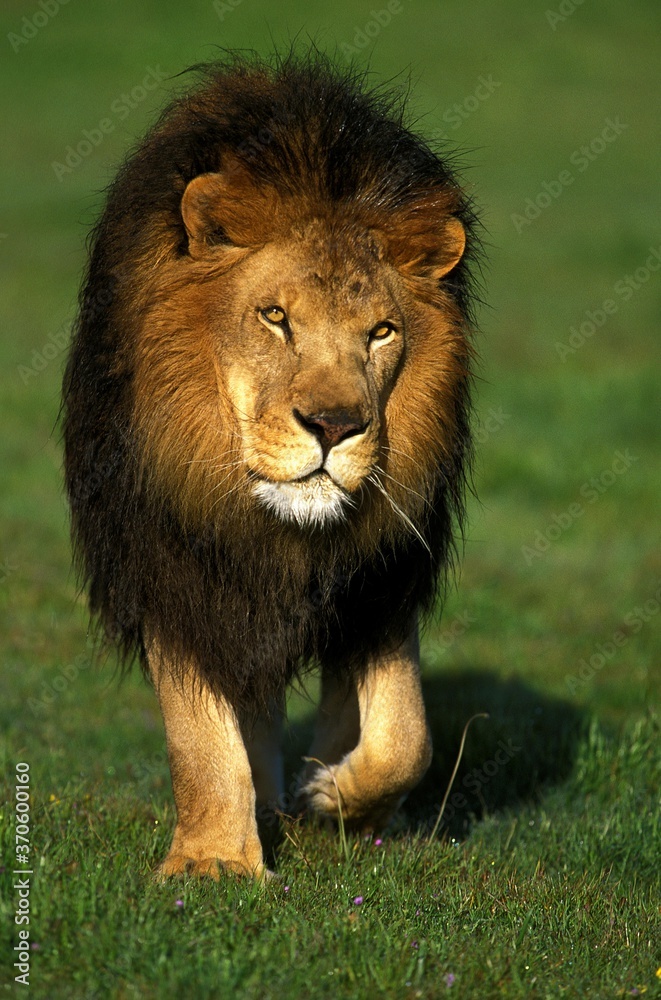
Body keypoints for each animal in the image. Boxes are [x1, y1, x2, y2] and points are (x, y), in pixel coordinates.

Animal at [62, 53, 478, 879]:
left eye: (381, 332)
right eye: (275, 318)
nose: (334, 427)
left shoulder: (381, 574)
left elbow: (405, 736)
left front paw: (337, 802)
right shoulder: (176, 563)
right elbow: (200, 729)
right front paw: (216, 863)